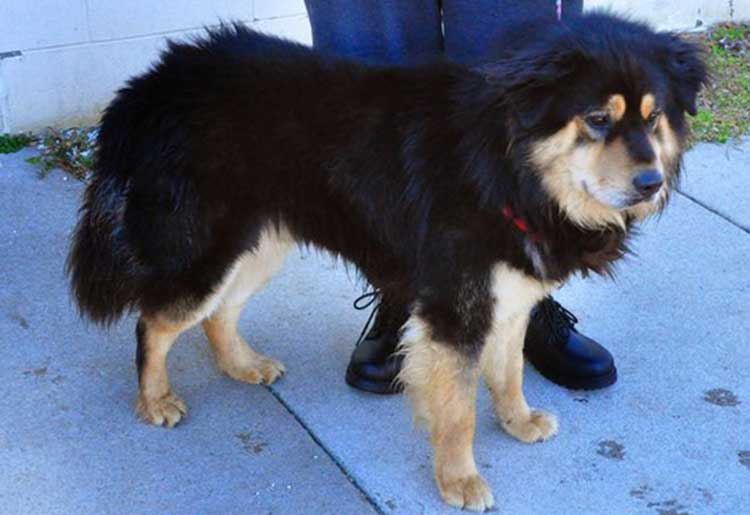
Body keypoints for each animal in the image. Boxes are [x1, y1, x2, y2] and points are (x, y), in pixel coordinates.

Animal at [67, 12, 708, 512]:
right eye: (597, 119)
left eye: (653, 117)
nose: (650, 183)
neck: (506, 166)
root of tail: (155, 80)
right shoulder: (456, 309)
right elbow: (458, 411)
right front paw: (460, 481)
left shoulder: (508, 293)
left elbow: (508, 371)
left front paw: (518, 421)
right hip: (208, 248)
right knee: (156, 321)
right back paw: (154, 400)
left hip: (260, 242)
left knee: (218, 314)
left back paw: (242, 365)